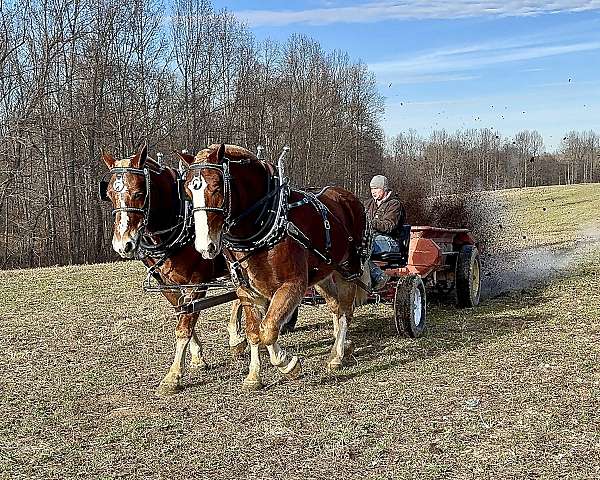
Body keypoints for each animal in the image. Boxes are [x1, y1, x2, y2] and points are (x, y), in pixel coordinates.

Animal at [99, 144, 247, 396]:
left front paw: (173, 376)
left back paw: (237, 337)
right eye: (109, 195)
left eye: (139, 193)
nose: (122, 245)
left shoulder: (196, 283)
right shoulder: (167, 285)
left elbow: (184, 326)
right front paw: (197, 358)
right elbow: (183, 315)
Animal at [183, 143, 370, 390]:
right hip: (324, 275)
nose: (205, 246)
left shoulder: (293, 285)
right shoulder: (247, 291)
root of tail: (351, 198)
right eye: (187, 191)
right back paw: (341, 346)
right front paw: (254, 376)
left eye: (216, 186)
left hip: (348, 271)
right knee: (336, 307)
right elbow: (255, 331)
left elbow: (269, 329)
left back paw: (337, 355)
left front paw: (288, 365)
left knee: (346, 312)